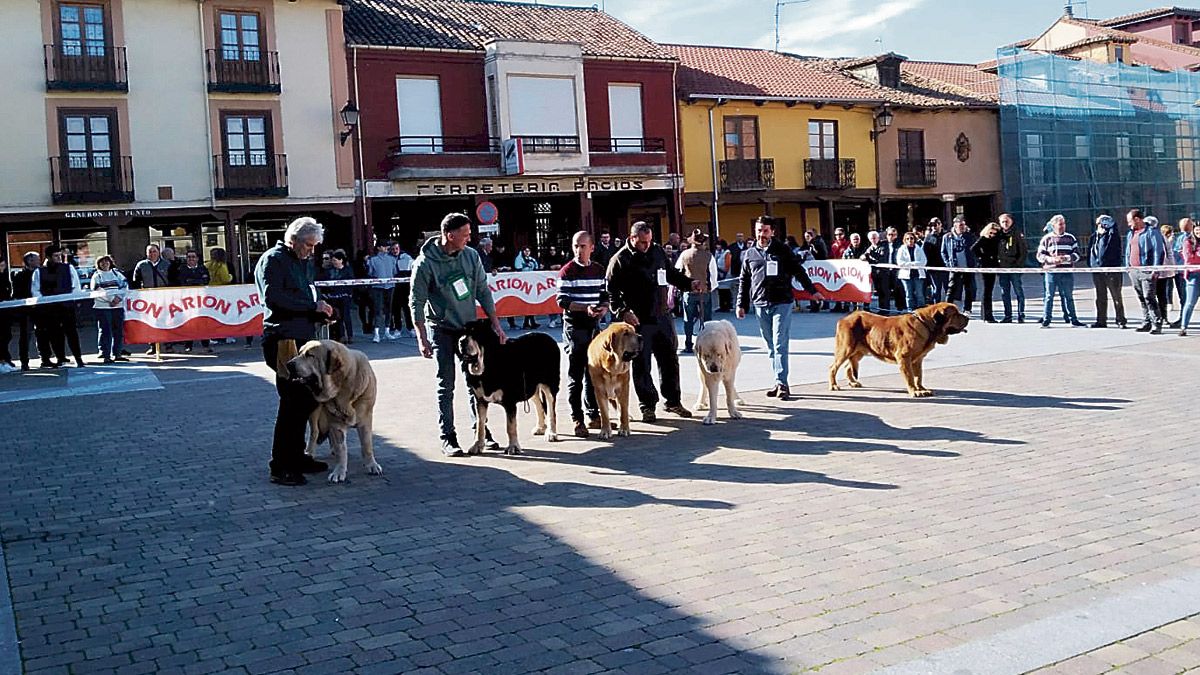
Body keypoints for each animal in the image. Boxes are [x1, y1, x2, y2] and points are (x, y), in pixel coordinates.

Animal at [453, 319, 561, 454]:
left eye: (475, 332)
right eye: (462, 333)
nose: (461, 341)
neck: (487, 363)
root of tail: (549, 338)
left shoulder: (509, 401)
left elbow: (510, 426)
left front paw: (513, 447)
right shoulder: (480, 401)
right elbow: (480, 425)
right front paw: (477, 445)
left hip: (549, 385)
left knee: (551, 410)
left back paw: (551, 433)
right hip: (529, 387)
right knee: (539, 404)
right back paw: (540, 427)